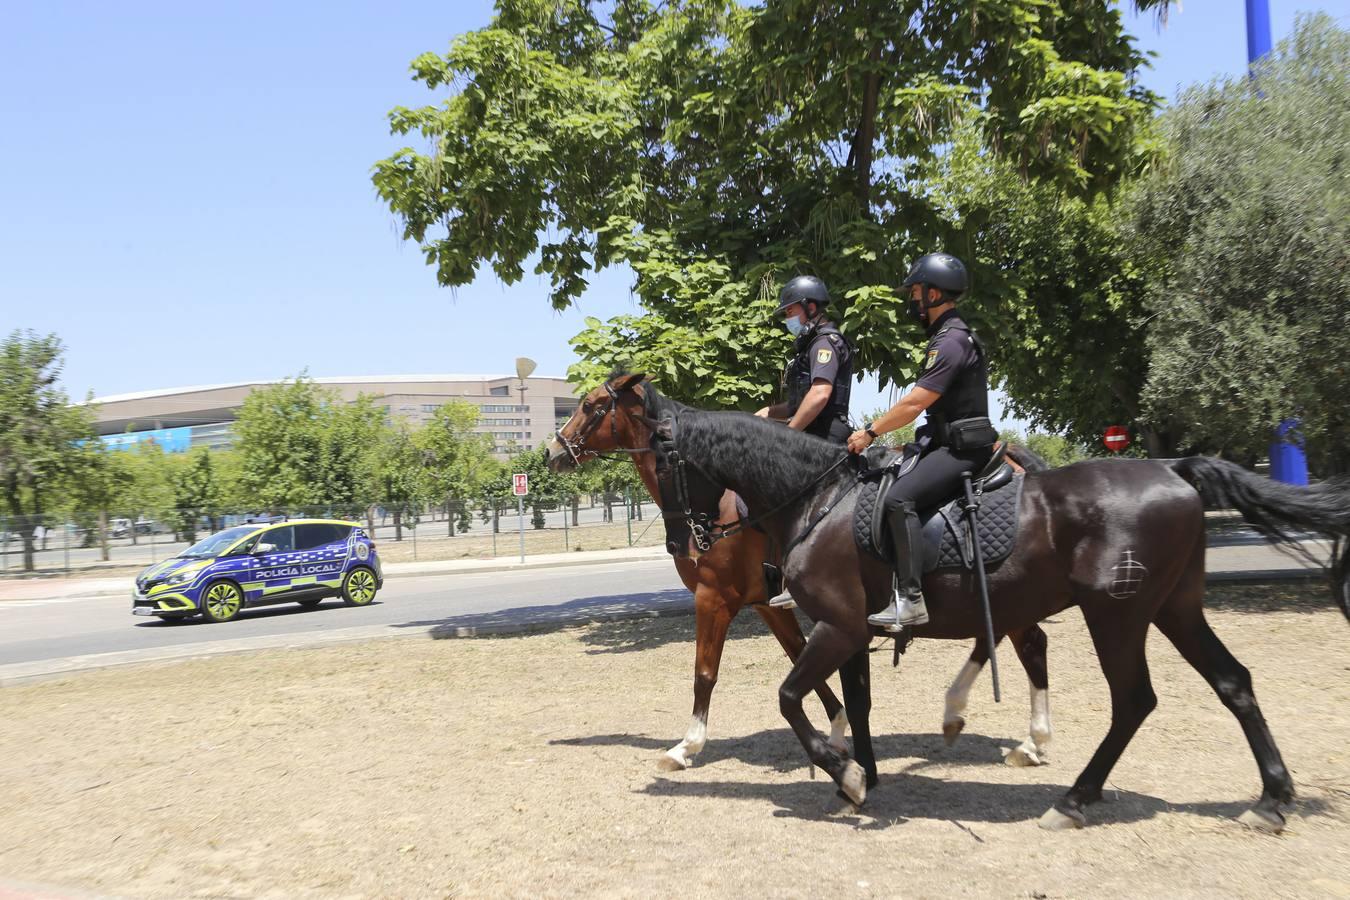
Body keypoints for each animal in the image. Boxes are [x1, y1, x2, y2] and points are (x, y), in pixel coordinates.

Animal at [545, 369, 1053, 771]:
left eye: (590, 406)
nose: (553, 451)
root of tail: (1010, 458)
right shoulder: (768, 604)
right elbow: (800, 655)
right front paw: (838, 730)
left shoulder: (714, 598)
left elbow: (705, 672)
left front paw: (687, 747)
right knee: (1019, 639)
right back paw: (1018, 736)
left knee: (1028, 642)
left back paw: (1028, 739)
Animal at [626, 377, 1344, 836]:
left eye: (666, 466)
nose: (679, 542)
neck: (819, 497)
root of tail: (1173, 469)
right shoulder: (848, 631)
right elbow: (853, 702)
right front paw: (862, 775)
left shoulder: (836, 625)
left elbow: (788, 696)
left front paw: (845, 774)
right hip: (1174, 608)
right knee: (1233, 682)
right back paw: (1271, 798)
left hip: (1117, 615)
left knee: (1132, 700)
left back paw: (1072, 798)